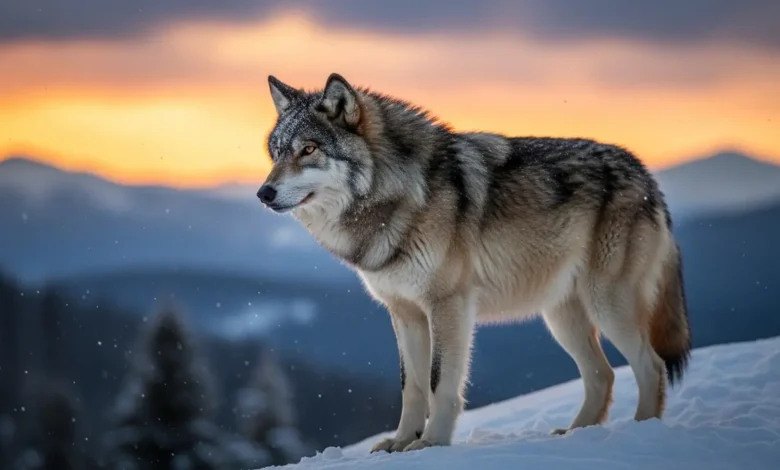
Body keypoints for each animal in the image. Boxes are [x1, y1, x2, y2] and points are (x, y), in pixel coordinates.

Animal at [256, 73, 692, 453]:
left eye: (308, 149)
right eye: (276, 153)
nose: (264, 192)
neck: (395, 195)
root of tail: (645, 173)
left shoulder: (448, 306)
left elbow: (438, 382)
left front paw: (431, 443)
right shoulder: (404, 312)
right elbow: (412, 387)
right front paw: (401, 443)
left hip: (606, 305)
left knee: (650, 366)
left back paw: (641, 431)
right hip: (561, 317)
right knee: (602, 374)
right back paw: (575, 434)